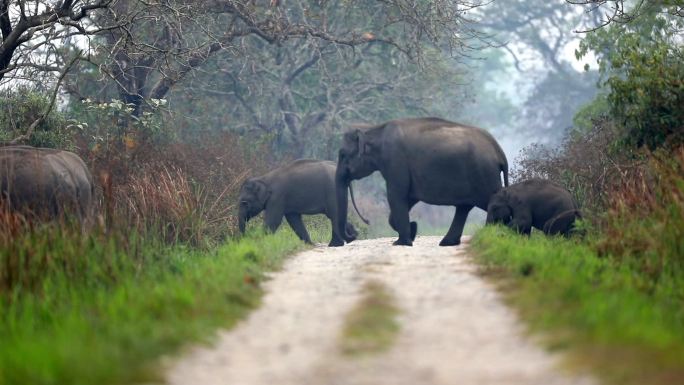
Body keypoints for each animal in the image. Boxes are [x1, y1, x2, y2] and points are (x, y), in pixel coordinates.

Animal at [239, 158, 368, 246]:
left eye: (244, 202)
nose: (244, 238)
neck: (263, 178)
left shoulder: (277, 198)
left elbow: (273, 221)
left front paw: (258, 243)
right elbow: (294, 220)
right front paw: (310, 244)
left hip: (333, 192)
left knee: (334, 215)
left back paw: (335, 244)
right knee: (336, 215)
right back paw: (353, 237)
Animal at [332, 115, 508, 246]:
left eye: (342, 154)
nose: (354, 232)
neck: (374, 130)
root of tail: (499, 151)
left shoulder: (395, 161)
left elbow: (396, 195)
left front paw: (402, 242)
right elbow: (408, 198)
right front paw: (412, 231)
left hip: (484, 175)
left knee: (489, 203)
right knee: (464, 207)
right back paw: (448, 242)